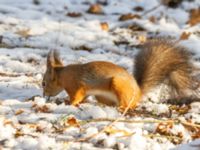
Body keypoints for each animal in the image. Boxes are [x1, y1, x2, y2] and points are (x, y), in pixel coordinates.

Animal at [41, 39, 198, 110]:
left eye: (43, 83)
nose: (44, 95)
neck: (63, 75)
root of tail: (138, 92)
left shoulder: (76, 86)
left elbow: (76, 97)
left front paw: (68, 103)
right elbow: (83, 98)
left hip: (118, 86)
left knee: (127, 105)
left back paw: (121, 107)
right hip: (102, 95)